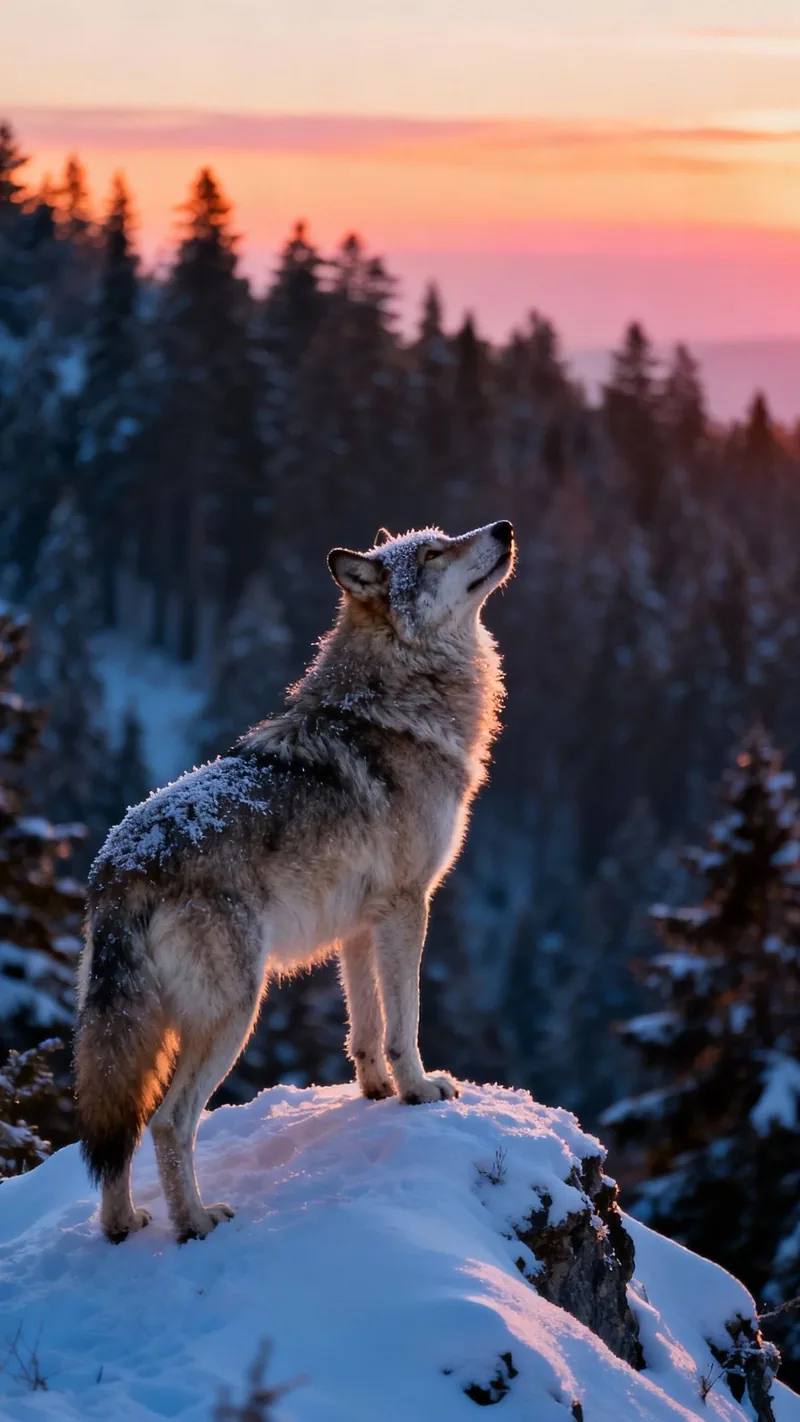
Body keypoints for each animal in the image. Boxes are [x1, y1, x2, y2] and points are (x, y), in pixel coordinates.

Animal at [75, 520, 515, 1243]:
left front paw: (375, 1095)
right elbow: (405, 1023)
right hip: (233, 1011)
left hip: (138, 1029)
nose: (503, 528)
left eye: (445, 536)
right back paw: (196, 1222)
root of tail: (120, 865)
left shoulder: (361, 926)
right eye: (432, 553)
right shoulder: (407, 905)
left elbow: (366, 1028)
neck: (396, 703)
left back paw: (123, 1227)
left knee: (123, 1125)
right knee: (170, 1120)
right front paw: (419, 1091)